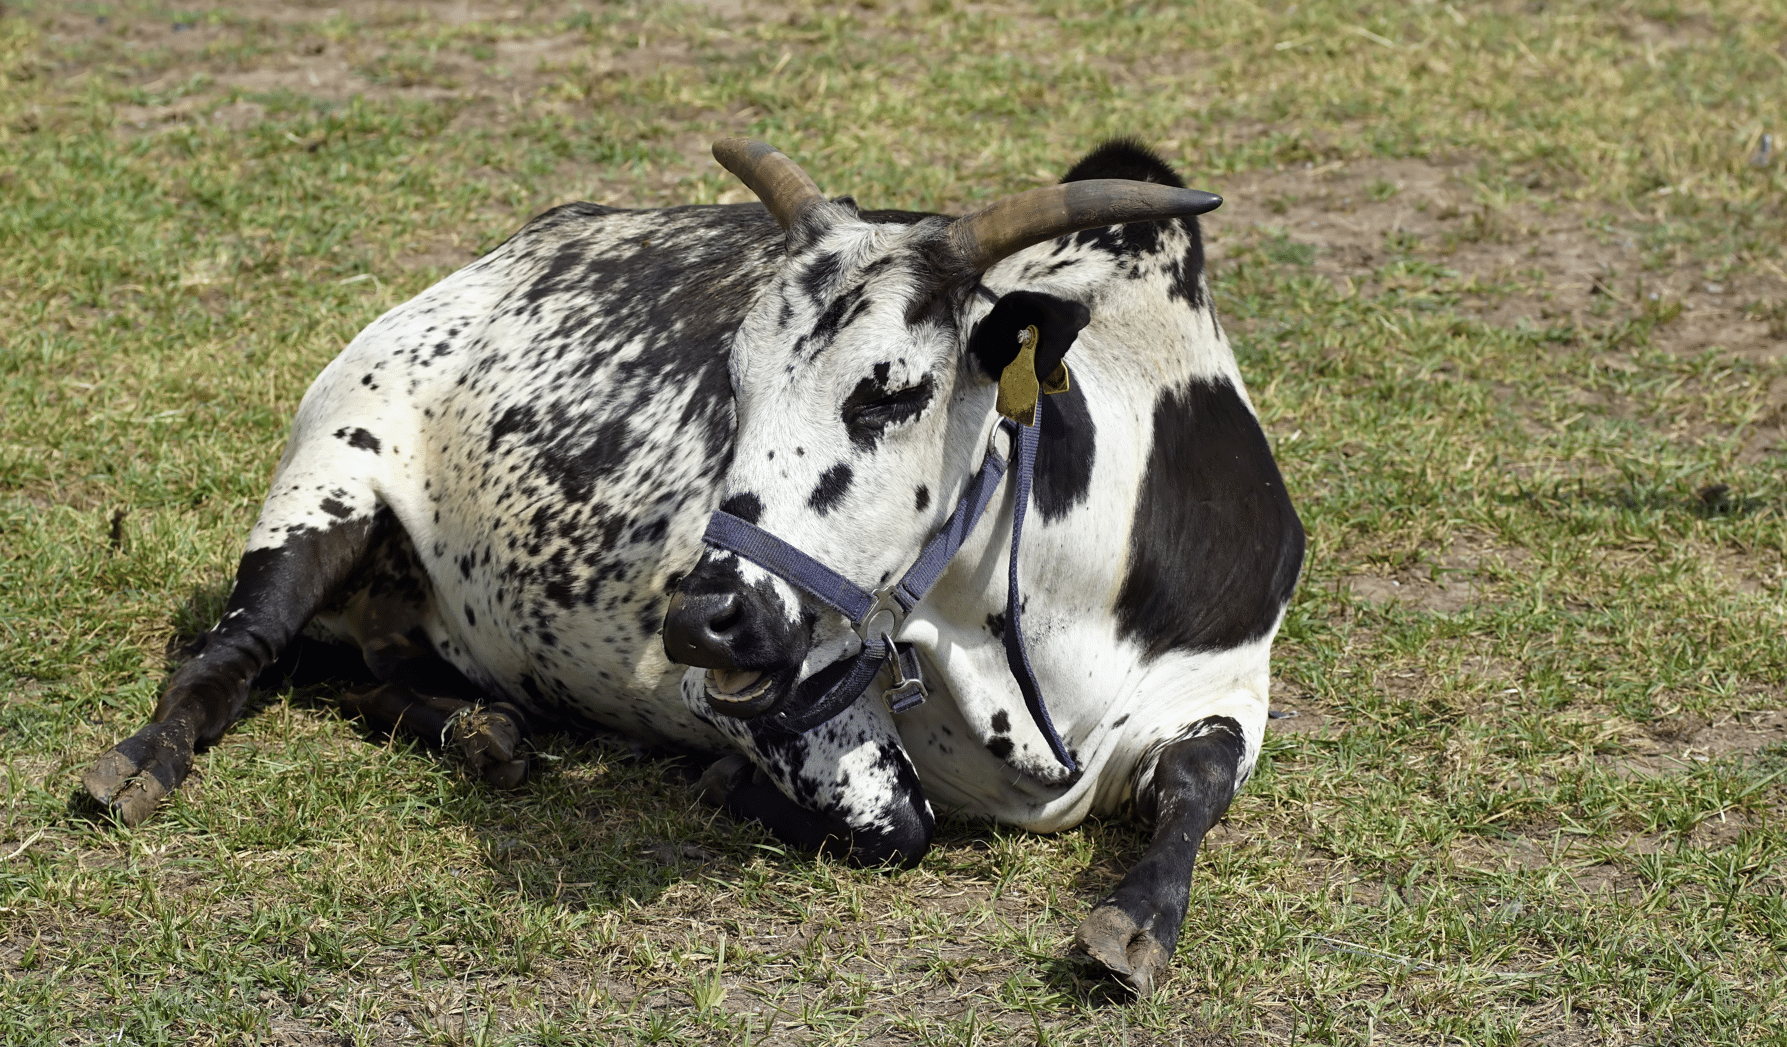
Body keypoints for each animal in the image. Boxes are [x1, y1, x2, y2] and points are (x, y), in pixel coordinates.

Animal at [84, 138, 1304, 996]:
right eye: (732, 377)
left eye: (892, 388)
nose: (704, 617)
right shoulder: (755, 699)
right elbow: (892, 820)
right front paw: (734, 787)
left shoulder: (1224, 686)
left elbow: (1194, 788)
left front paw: (1135, 924)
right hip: (328, 480)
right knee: (239, 652)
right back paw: (137, 764)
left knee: (358, 672)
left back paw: (477, 729)